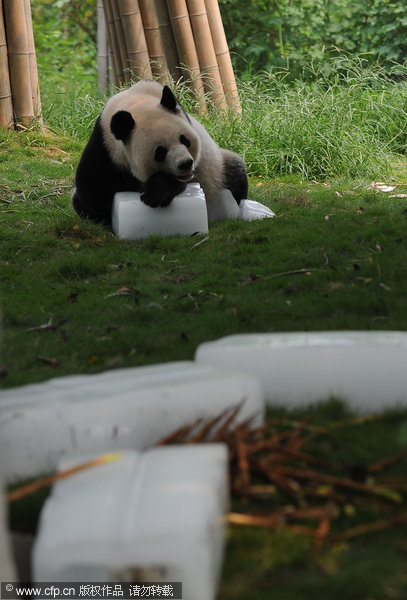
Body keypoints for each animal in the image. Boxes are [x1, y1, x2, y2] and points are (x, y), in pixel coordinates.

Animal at [71, 79, 247, 227]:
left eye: (184, 140)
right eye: (160, 152)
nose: (185, 164)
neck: (134, 105)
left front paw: (156, 193)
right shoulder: (104, 146)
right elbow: (93, 189)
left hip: (219, 168)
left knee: (236, 174)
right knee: (78, 202)